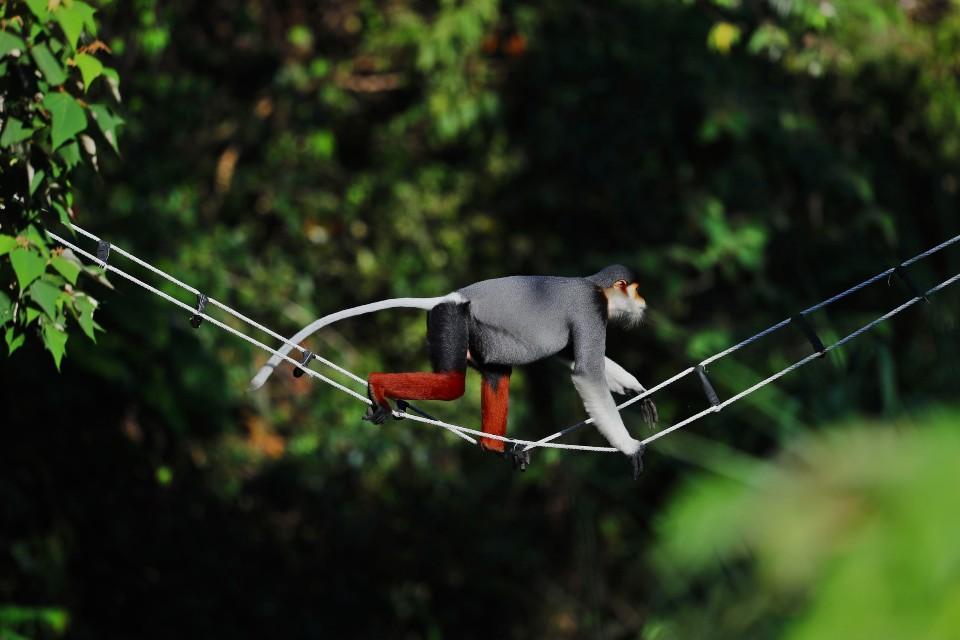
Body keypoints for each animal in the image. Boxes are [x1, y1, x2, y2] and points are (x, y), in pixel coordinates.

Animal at [249, 265, 657, 479]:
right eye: (636, 289)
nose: (643, 300)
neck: (595, 288)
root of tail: (450, 298)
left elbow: (570, 360)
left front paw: (638, 391)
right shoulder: (590, 309)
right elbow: (585, 371)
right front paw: (629, 446)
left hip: (472, 332)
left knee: (496, 374)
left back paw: (496, 446)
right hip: (449, 321)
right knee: (451, 384)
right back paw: (378, 385)